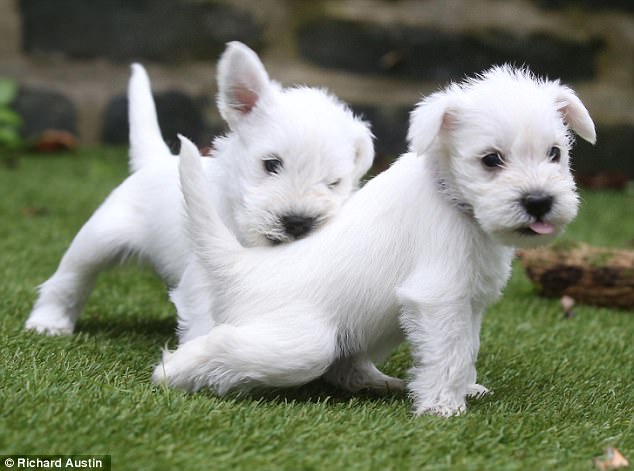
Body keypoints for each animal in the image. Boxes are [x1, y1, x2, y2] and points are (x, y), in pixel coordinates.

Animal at [23, 40, 370, 336]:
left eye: (334, 183)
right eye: (271, 164)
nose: (298, 222)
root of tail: (154, 160)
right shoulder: (205, 274)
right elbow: (205, 319)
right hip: (98, 237)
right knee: (69, 278)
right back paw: (48, 321)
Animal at [156, 66, 596, 416]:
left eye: (555, 153)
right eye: (491, 159)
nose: (539, 202)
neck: (453, 201)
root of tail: (243, 265)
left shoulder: (469, 304)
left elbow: (465, 349)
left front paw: (464, 389)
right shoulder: (438, 297)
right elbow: (448, 354)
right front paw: (443, 407)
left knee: (344, 368)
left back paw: (380, 382)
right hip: (303, 344)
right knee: (220, 344)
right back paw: (169, 372)